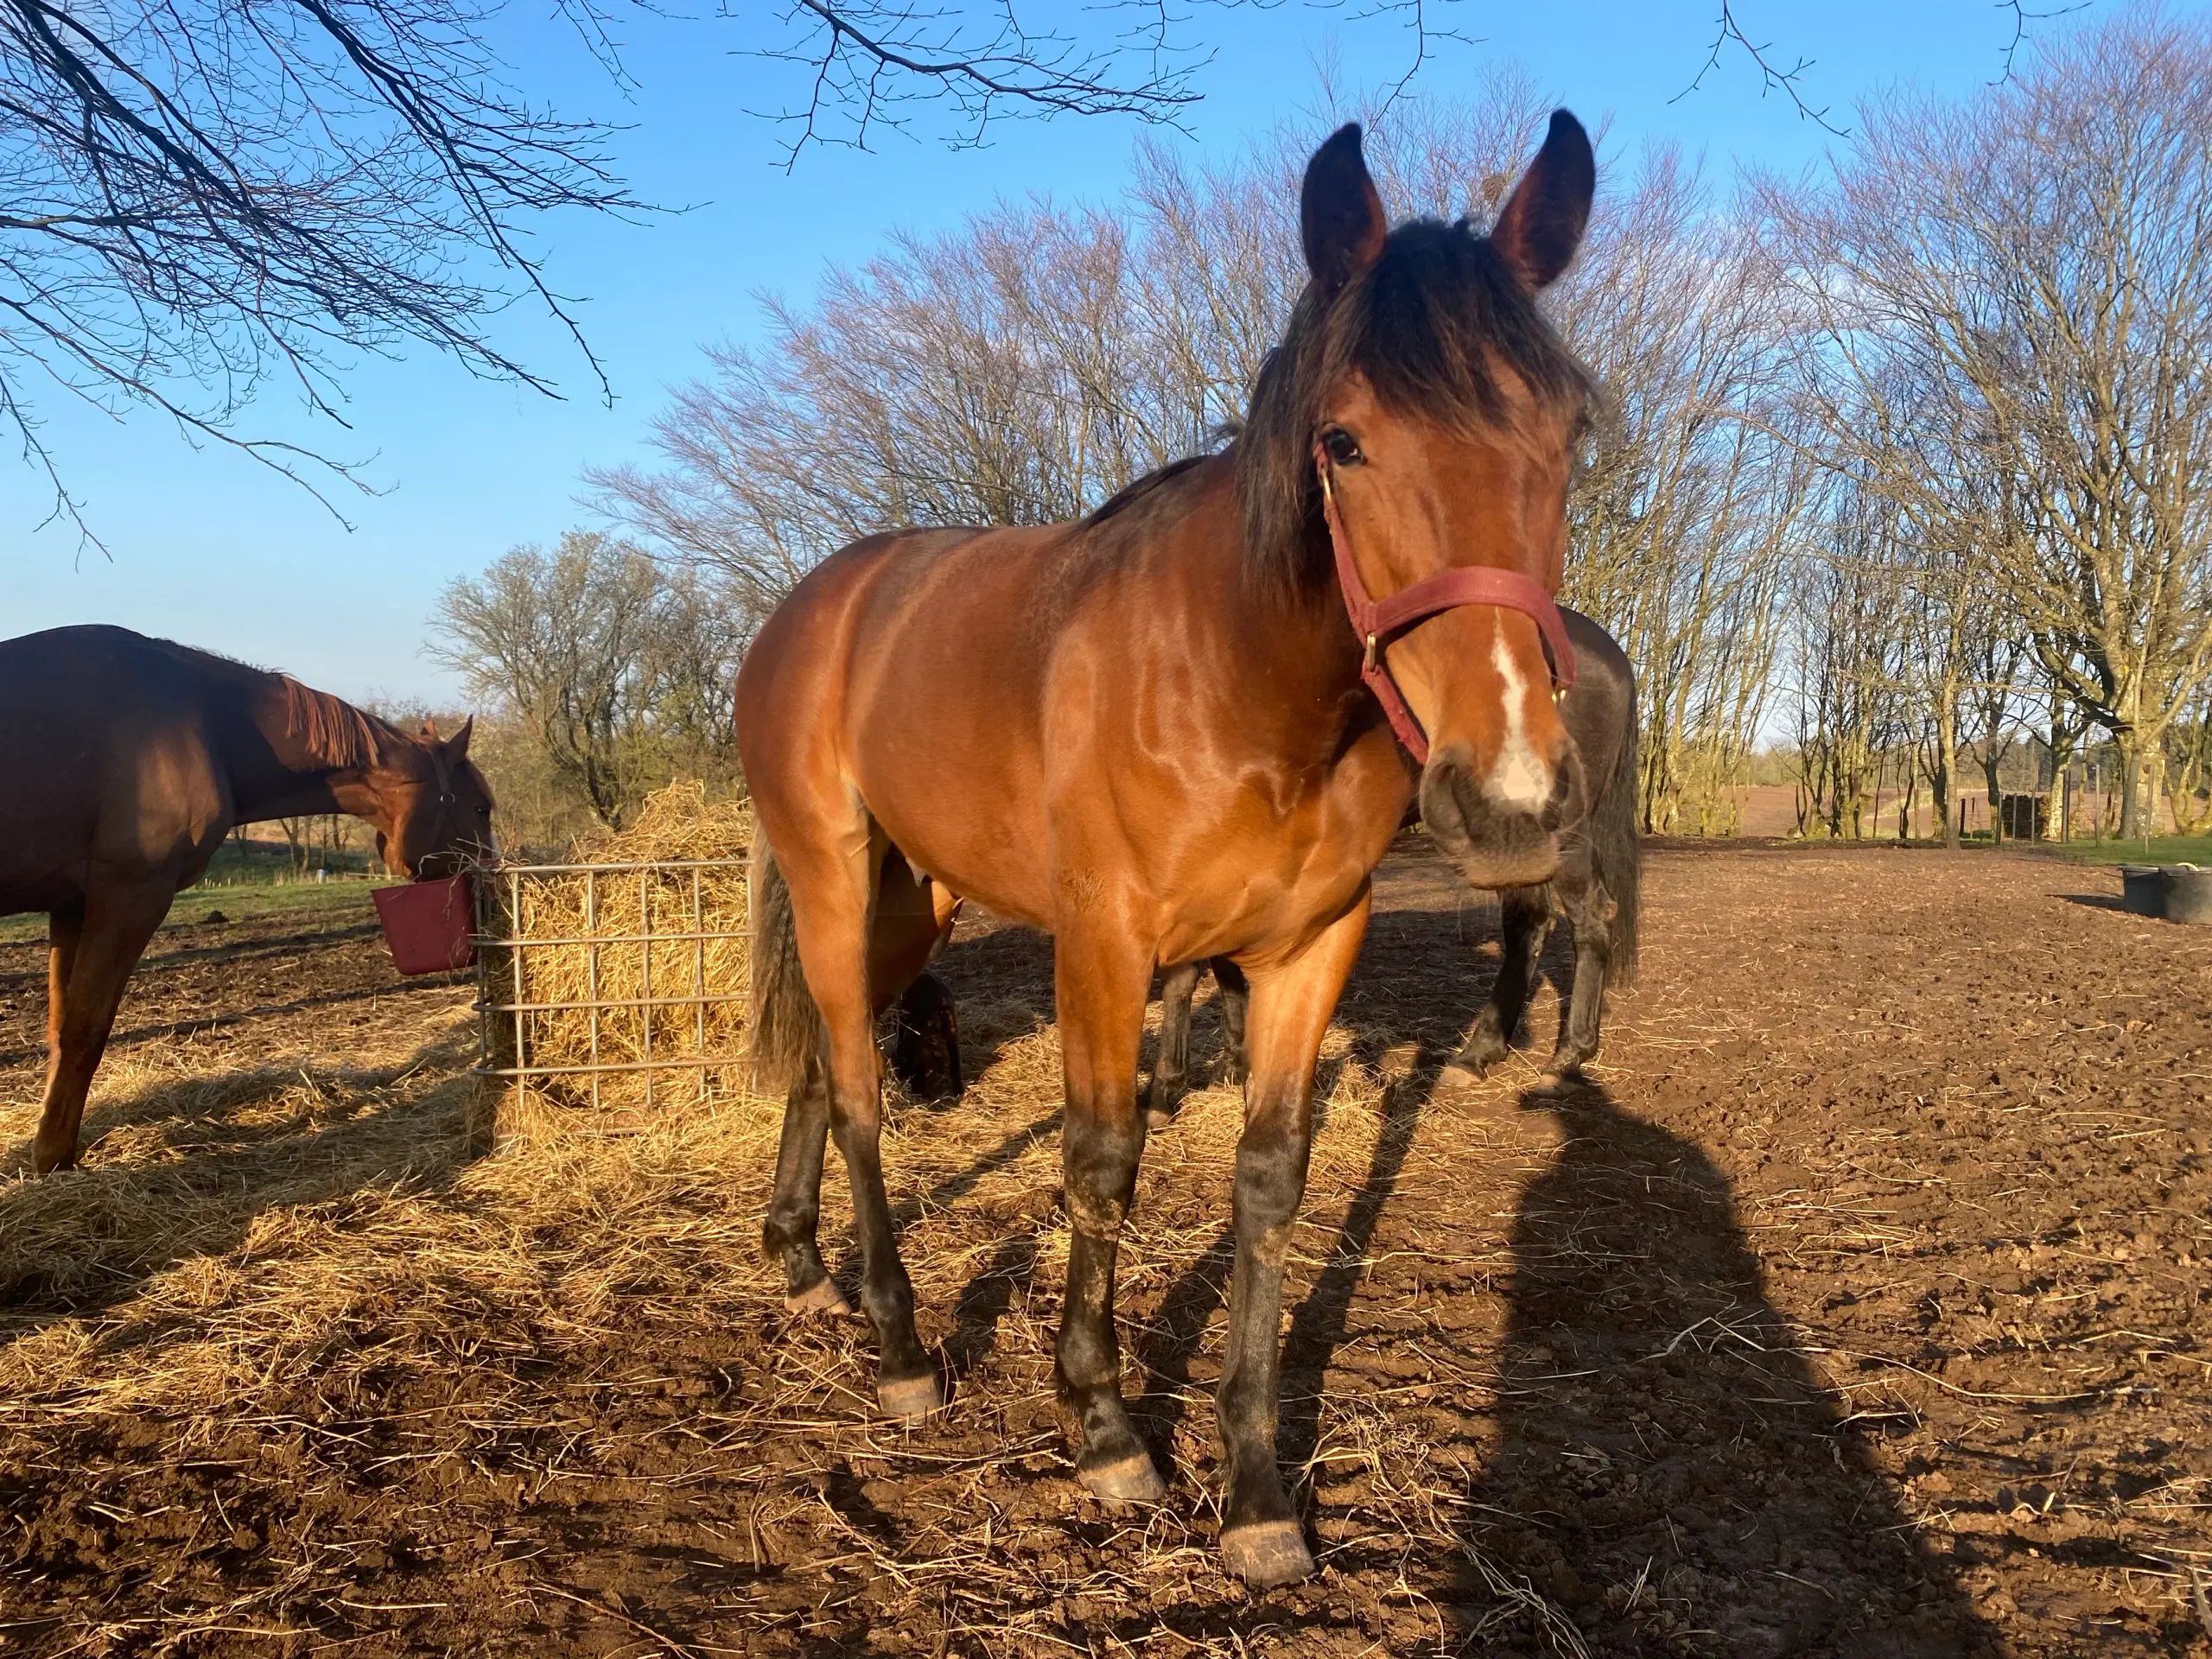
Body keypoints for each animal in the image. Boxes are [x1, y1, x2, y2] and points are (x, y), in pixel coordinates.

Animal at [0, 628, 493, 1185]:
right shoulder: (130, 895)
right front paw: (52, 1159)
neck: (202, 719)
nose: (491, 888)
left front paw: (51, 1155)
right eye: (481, 808)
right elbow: (87, 1030)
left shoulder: (72, 906)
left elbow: (62, 1030)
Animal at [739, 111, 1592, 1592]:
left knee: (817, 1066)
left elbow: (1270, 1185)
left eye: (1574, 430)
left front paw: (1254, 1489)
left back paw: (805, 1265)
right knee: (853, 1091)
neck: (1237, 682)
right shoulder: (1105, 943)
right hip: (834, 877)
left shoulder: (1311, 951)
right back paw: (900, 1348)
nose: (1512, 792)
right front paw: (1101, 1423)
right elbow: (1102, 1163)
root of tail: (816, 605)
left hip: (915, 902)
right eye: (1346, 440)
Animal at [1141, 606, 1645, 1119]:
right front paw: (1234, 1065)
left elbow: (1183, 975)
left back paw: (1566, 1061)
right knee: (1529, 925)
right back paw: (1478, 1054)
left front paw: (1164, 1092)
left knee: (1592, 918)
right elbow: (1226, 964)